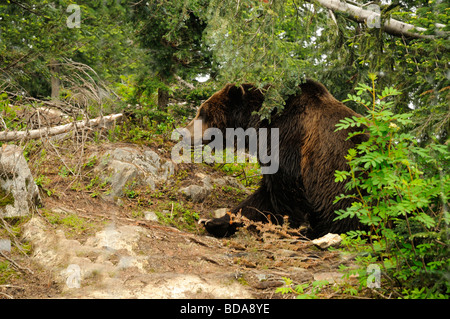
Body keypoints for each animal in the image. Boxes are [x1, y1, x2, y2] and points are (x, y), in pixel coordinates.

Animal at [185, 79, 368, 239]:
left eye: (202, 112)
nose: (184, 132)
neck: (257, 124)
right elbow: (261, 197)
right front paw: (212, 222)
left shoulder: (287, 138)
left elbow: (285, 189)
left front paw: (291, 227)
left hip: (343, 176)